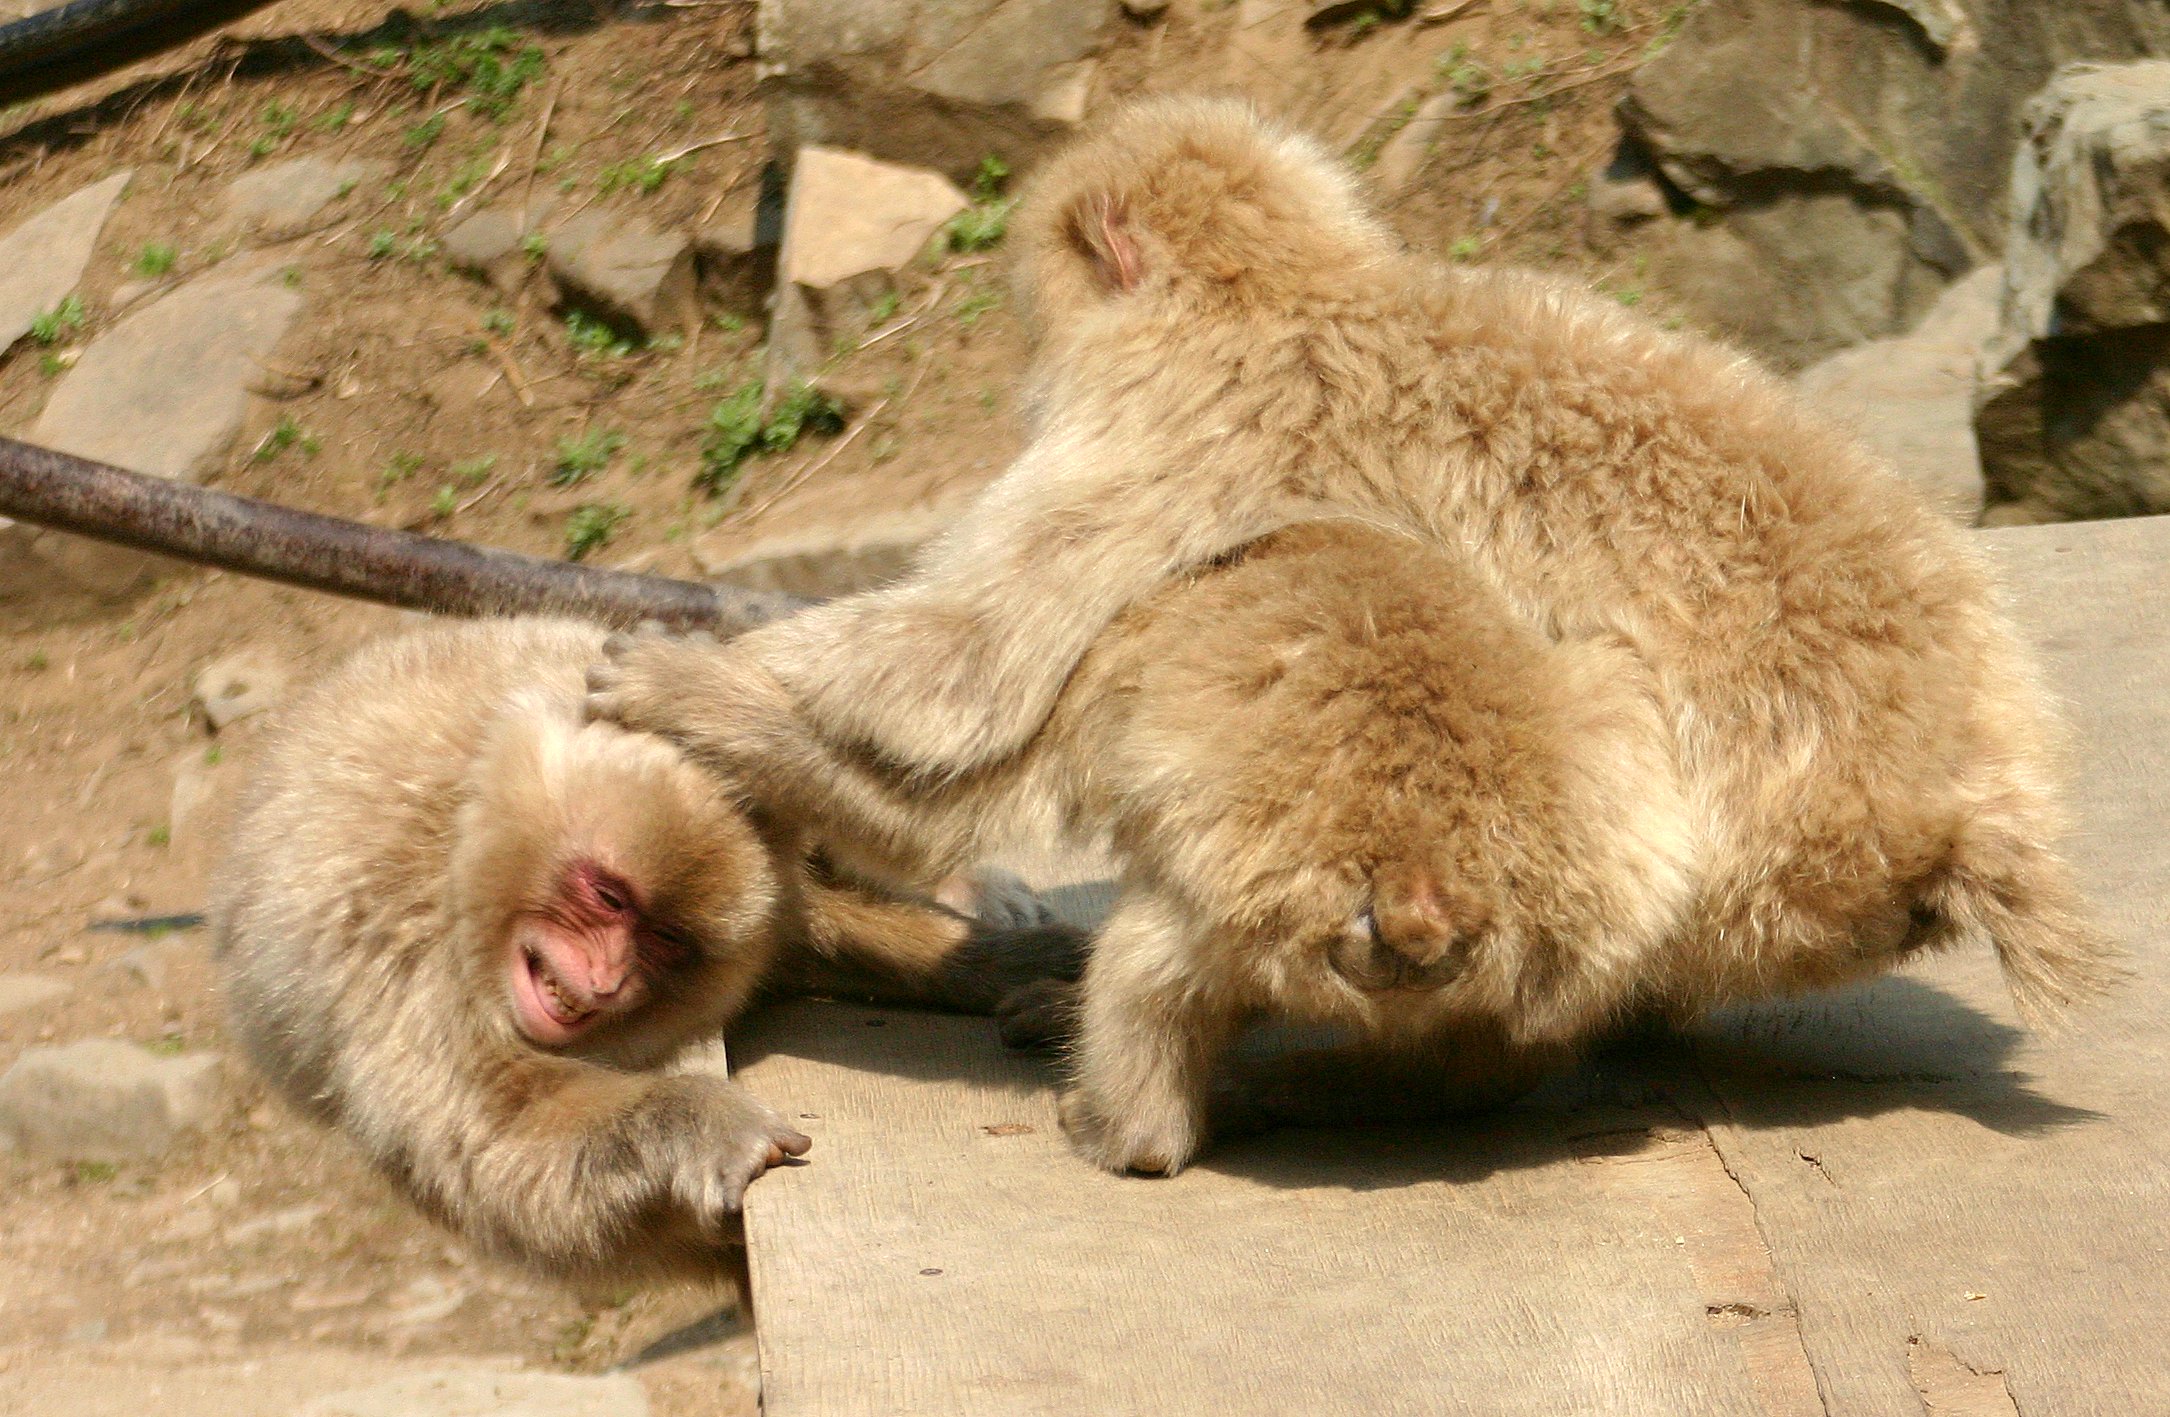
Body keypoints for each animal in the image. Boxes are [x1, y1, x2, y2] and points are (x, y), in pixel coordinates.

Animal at [210, 617, 1083, 1277]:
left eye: (662, 938)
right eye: (606, 896)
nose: (600, 978)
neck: (469, 840)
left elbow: (806, 919)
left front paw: (1007, 961)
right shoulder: (408, 946)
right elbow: (494, 1134)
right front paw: (700, 1120)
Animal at [586, 97, 2118, 1172]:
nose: (1019, 360)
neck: (1284, 288)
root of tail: (1968, 811)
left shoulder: (1164, 422)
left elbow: (961, 680)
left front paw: (703, 680)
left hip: (1733, 867)